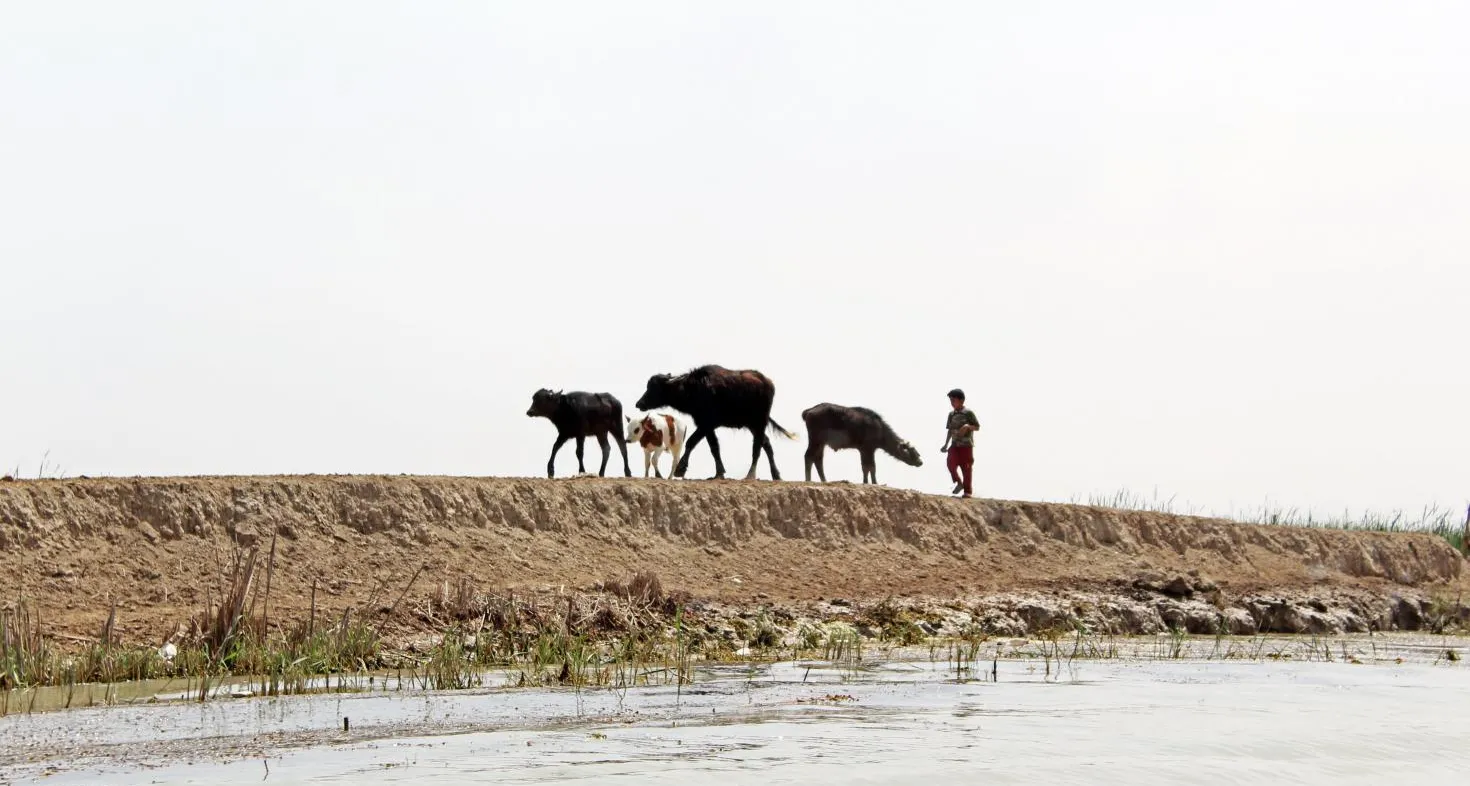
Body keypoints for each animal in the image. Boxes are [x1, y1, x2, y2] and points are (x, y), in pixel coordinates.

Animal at [632, 365, 793, 481]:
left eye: (654, 388)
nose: (639, 403)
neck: (694, 388)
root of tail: (768, 383)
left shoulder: (706, 424)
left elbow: (691, 442)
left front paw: (680, 469)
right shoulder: (707, 426)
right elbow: (714, 447)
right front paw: (719, 473)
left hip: (759, 423)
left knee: (757, 447)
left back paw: (750, 475)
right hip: (753, 425)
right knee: (767, 444)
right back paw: (776, 475)